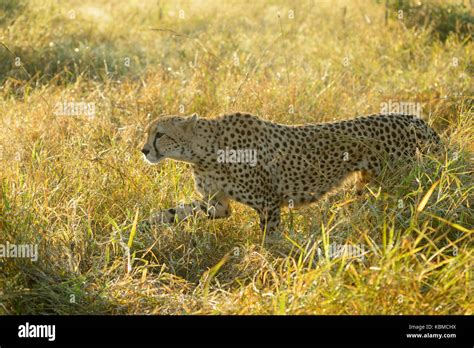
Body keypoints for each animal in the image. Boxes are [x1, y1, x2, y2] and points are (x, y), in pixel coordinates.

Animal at [139, 113, 442, 235]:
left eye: (160, 134)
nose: (144, 150)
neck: (203, 152)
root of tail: (415, 118)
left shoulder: (268, 203)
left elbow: (269, 239)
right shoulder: (218, 204)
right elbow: (179, 210)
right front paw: (146, 223)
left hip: (400, 182)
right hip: (369, 185)